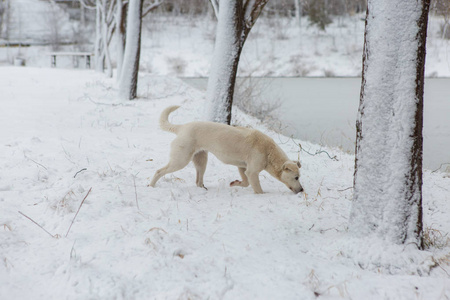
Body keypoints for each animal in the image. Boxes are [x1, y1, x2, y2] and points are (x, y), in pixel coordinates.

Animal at [149, 106, 304, 195]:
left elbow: (245, 182)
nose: (302, 190)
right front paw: (261, 195)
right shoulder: (252, 172)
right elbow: (258, 189)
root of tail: (181, 127)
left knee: (198, 180)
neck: (269, 152)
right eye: (296, 177)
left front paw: (235, 183)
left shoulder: (243, 168)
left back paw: (203, 189)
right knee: (158, 171)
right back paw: (151, 186)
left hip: (201, 161)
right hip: (180, 160)